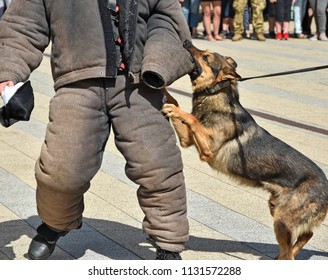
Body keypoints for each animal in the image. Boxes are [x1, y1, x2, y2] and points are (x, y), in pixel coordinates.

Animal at [162, 40, 328, 260]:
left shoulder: (207, 149)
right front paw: (164, 93)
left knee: (291, 252)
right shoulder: (187, 140)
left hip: (282, 220)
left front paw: (177, 110)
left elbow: (192, 118)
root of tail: (327, 188)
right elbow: (176, 102)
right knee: (305, 235)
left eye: (206, 56)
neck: (217, 93)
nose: (187, 41)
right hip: (277, 210)